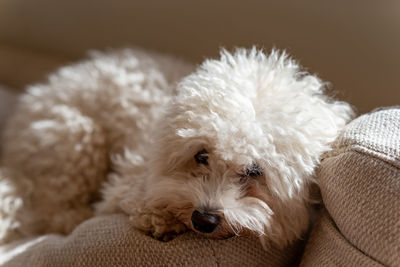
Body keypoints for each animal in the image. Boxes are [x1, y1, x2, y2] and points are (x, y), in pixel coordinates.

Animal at [0, 47, 354, 248]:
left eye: (255, 172)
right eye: (201, 156)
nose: (203, 220)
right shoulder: (125, 181)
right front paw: (160, 217)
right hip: (76, 136)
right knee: (51, 210)